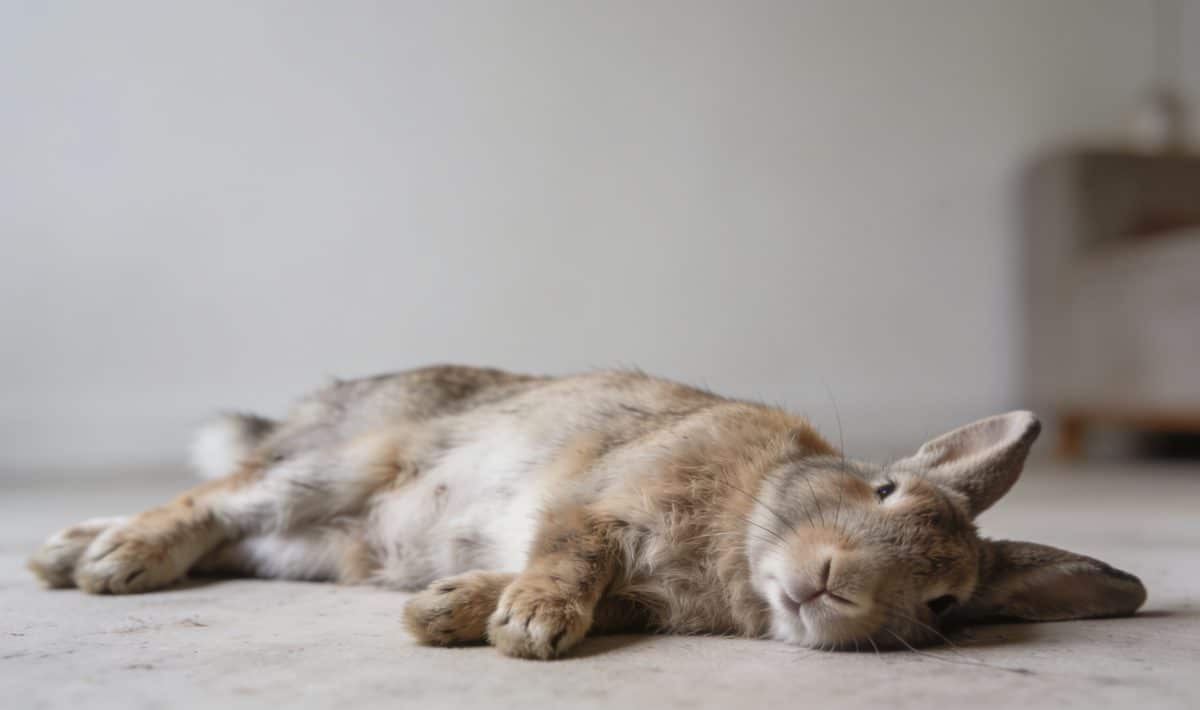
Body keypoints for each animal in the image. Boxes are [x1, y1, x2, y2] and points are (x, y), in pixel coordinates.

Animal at [28, 365, 1146, 659]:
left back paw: (75, 550)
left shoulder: (636, 585)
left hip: (310, 548)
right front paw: (528, 625)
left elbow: (568, 580)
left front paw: (451, 610)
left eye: (945, 599)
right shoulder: (599, 503)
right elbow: (571, 555)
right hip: (332, 467)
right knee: (212, 499)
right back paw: (103, 557)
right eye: (882, 492)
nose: (835, 584)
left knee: (234, 534)